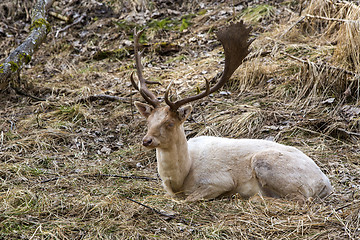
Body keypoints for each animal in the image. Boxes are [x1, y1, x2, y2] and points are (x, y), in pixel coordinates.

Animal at [129, 20, 332, 202]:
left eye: (170, 123)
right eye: (148, 121)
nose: (147, 140)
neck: (181, 179)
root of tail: (325, 183)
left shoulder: (219, 181)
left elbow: (189, 200)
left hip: (267, 163)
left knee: (300, 199)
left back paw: (252, 198)